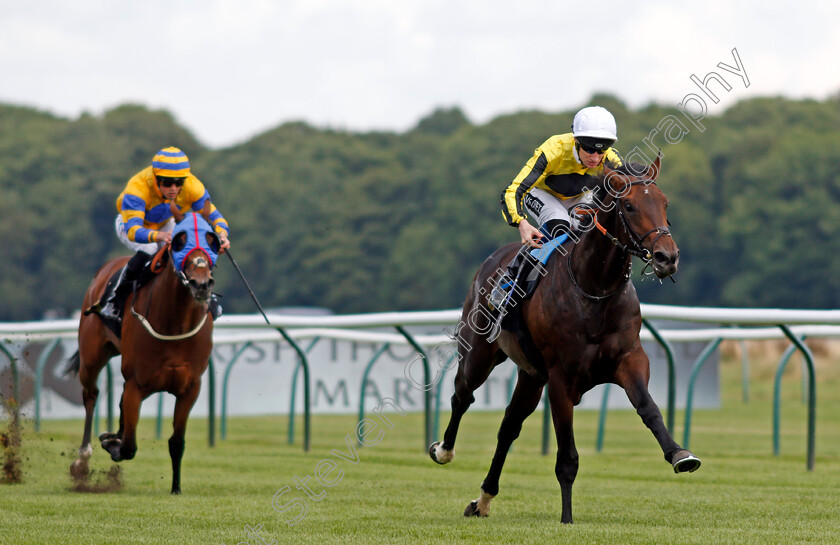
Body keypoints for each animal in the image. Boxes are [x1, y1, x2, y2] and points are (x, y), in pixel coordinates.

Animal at [66, 207, 220, 492]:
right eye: (180, 243)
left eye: (212, 243)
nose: (201, 283)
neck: (174, 324)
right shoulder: (137, 383)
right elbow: (128, 446)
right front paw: (112, 443)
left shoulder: (190, 387)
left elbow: (176, 442)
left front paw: (176, 488)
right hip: (92, 356)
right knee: (91, 394)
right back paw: (82, 460)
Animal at [430, 155, 700, 520]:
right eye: (629, 205)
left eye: (664, 202)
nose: (667, 257)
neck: (594, 289)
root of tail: (493, 259)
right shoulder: (561, 379)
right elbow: (567, 457)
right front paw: (567, 519)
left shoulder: (629, 359)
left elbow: (649, 408)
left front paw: (679, 454)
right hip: (479, 353)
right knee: (462, 395)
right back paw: (443, 450)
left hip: (530, 375)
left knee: (508, 426)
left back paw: (483, 499)